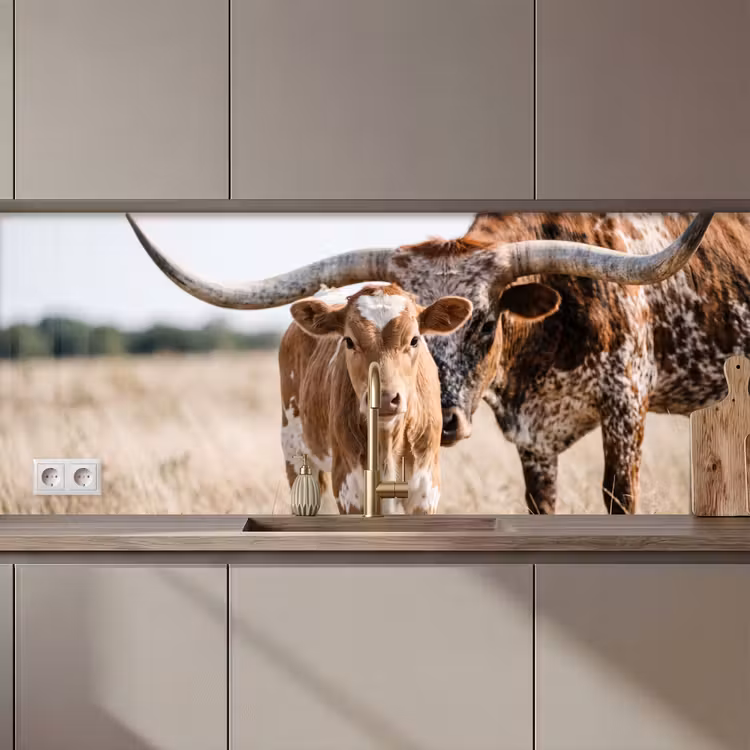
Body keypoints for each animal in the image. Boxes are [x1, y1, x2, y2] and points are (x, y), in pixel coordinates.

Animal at [279, 284, 471, 513]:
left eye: (414, 340)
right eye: (349, 341)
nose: (385, 398)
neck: (386, 439)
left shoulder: (426, 491)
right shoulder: (348, 488)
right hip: (294, 450)